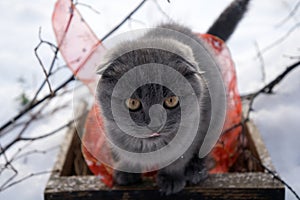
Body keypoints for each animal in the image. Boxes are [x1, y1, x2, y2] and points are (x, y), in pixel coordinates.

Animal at [96, 0, 251, 195]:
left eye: (171, 101)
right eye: (133, 103)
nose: (155, 124)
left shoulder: (195, 131)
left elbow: (178, 160)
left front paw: (171, 179)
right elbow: (126, 155)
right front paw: (126, 171)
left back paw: (196, 171)